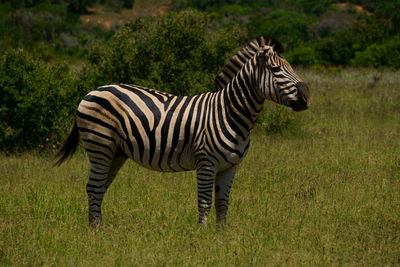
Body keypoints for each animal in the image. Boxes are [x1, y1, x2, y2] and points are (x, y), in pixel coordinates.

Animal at [54, 35, 310, 228]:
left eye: (292, 67)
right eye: (276, 69)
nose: (307, 97)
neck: (229, 113)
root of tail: (92, 91)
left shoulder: (230, 166)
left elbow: (223, 203)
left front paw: (222, 236)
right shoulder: (206, 162)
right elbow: (205, 202)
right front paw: (202, 235)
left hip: (116, 153)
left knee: (100, 188)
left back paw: (98, 226)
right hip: (100, 146)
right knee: (93, 187)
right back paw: (95, 231)